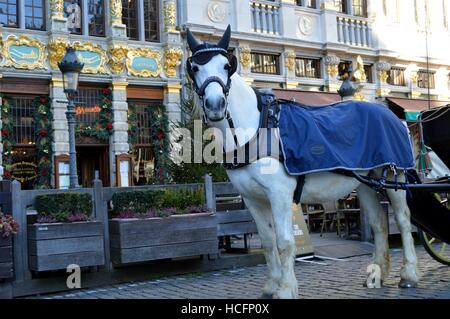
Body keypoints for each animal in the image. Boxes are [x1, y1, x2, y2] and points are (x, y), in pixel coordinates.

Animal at [185, 25, 420, 300]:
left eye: (226, 65)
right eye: (195, 67)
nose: (215, 105)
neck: (256, 128)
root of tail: (392, 116)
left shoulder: (279, 193)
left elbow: (285, 242)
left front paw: (286, 289)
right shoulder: (252, 199)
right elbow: (267, 242)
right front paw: (271, 286)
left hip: (394, 177)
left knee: (403, 219)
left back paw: (409, 274)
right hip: (365, 183)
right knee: (379, 223)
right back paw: (378, 273)